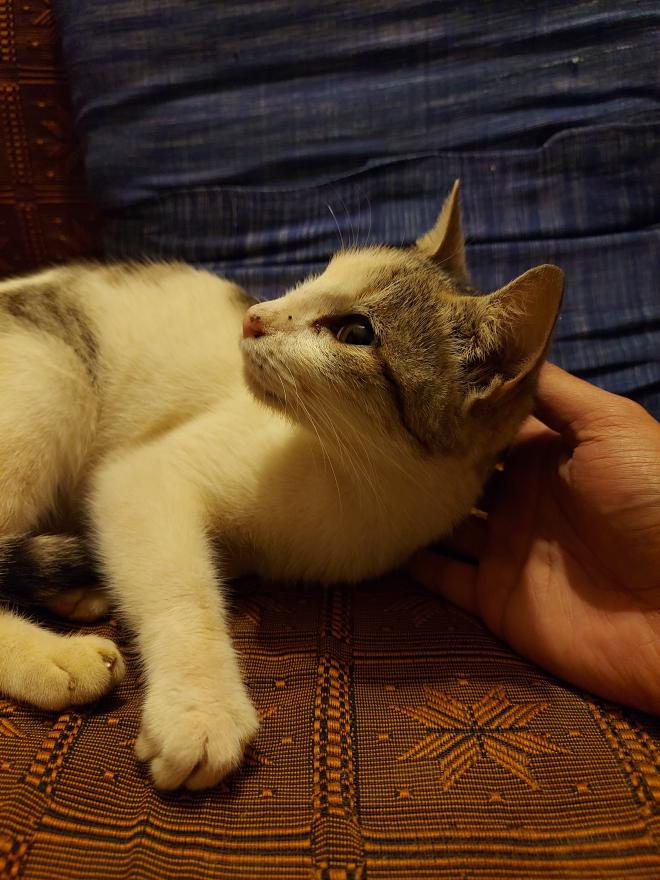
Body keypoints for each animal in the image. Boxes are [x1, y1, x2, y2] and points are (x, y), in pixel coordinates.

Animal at [0, 180, 564, 792]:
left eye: (355, 332)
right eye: (321, 272)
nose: (252, 317)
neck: (366, 489)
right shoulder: (145, 476)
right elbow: (184, 592)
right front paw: (200, 709)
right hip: (50, 387)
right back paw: (57, 659)